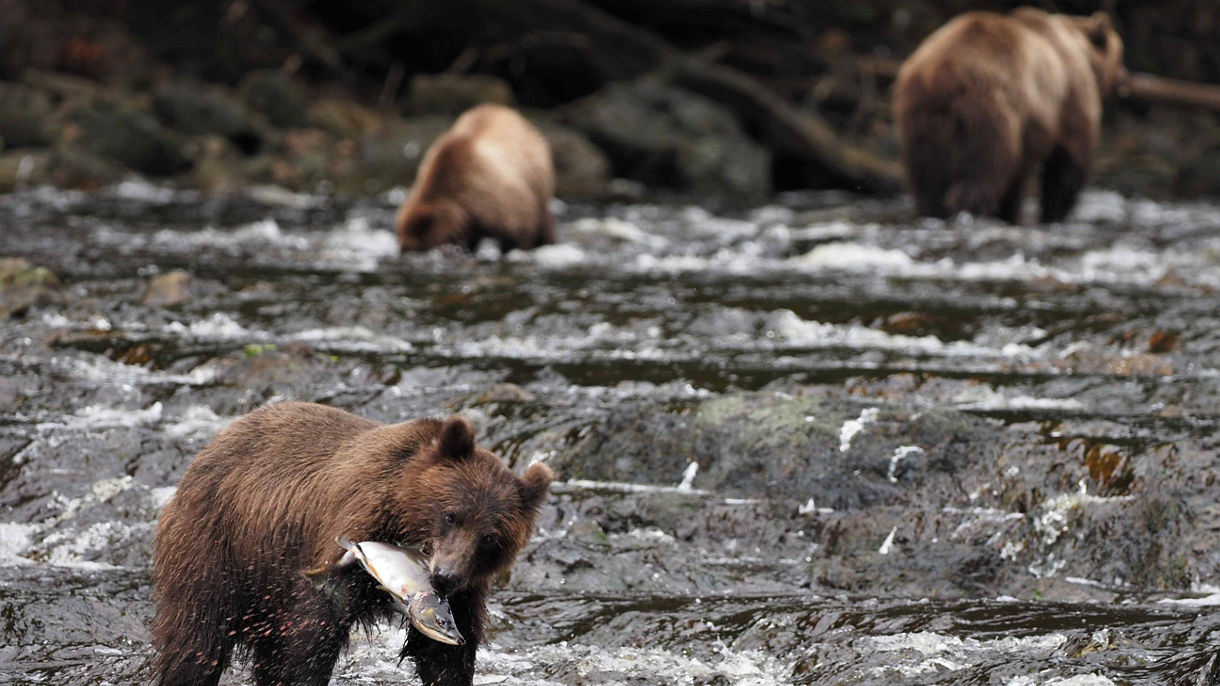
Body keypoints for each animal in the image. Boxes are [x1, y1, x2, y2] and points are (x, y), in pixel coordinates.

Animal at [151, 402, 554, 686]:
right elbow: (314, 630)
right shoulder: (350, 524)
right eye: (452, 515)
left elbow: (446, 654)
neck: (402, 512)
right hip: (218, 546)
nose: (445, 574)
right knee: (197, 636)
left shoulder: (466, 593)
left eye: (490, 538)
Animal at [893, 8, 1126, 223]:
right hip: (988, 113)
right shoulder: (1071, 94)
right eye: (1120, 57)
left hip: (919, 122)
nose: (1124, 77)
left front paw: (1011, 215)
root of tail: (937, 75)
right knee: (985, 169)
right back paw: (970, 211)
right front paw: (1053, 213)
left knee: (927, 184)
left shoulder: (1028, 135)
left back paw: (933, 212)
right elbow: (1069, 159)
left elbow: (1016, 184)